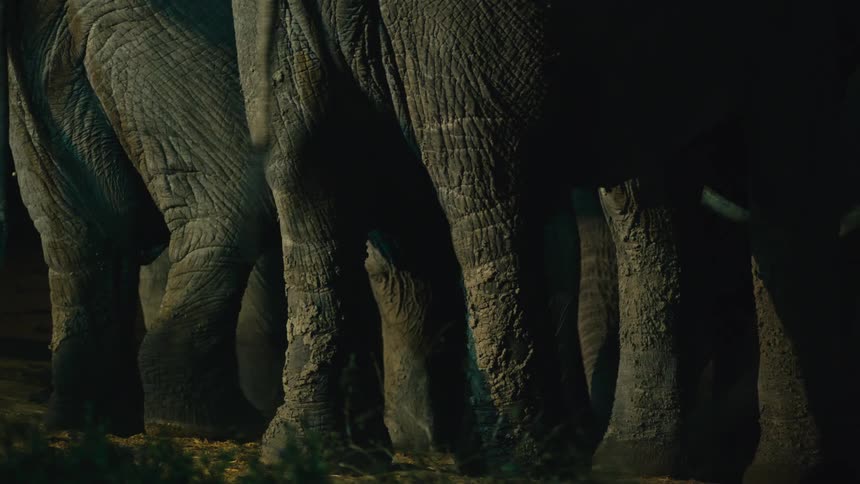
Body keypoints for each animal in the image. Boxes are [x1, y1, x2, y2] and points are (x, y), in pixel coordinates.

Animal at [236, 0, 854, 480]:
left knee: (307, 190)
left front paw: (636, 464)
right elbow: (791, 170)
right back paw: (531, 460)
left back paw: (312, 454)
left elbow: (652, 195)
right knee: (487, 193)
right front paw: (792, 473)